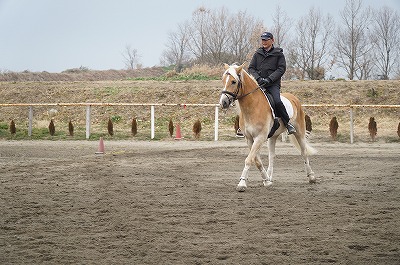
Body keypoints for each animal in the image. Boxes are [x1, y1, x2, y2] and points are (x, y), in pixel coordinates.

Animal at [219, 63, 316, 191]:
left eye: (233, 81)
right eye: (223, 80)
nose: (223, 102)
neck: (252, 107)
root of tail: (294, 98)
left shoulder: (260, 137)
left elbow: (249, 159)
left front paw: (242, 183)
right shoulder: (249, 139)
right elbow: (257, 160)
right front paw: (266, 181)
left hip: (299, 133)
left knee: (304, 152)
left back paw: (311, 177)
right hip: (273, 137)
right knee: (271, 156)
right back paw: (269, 177)